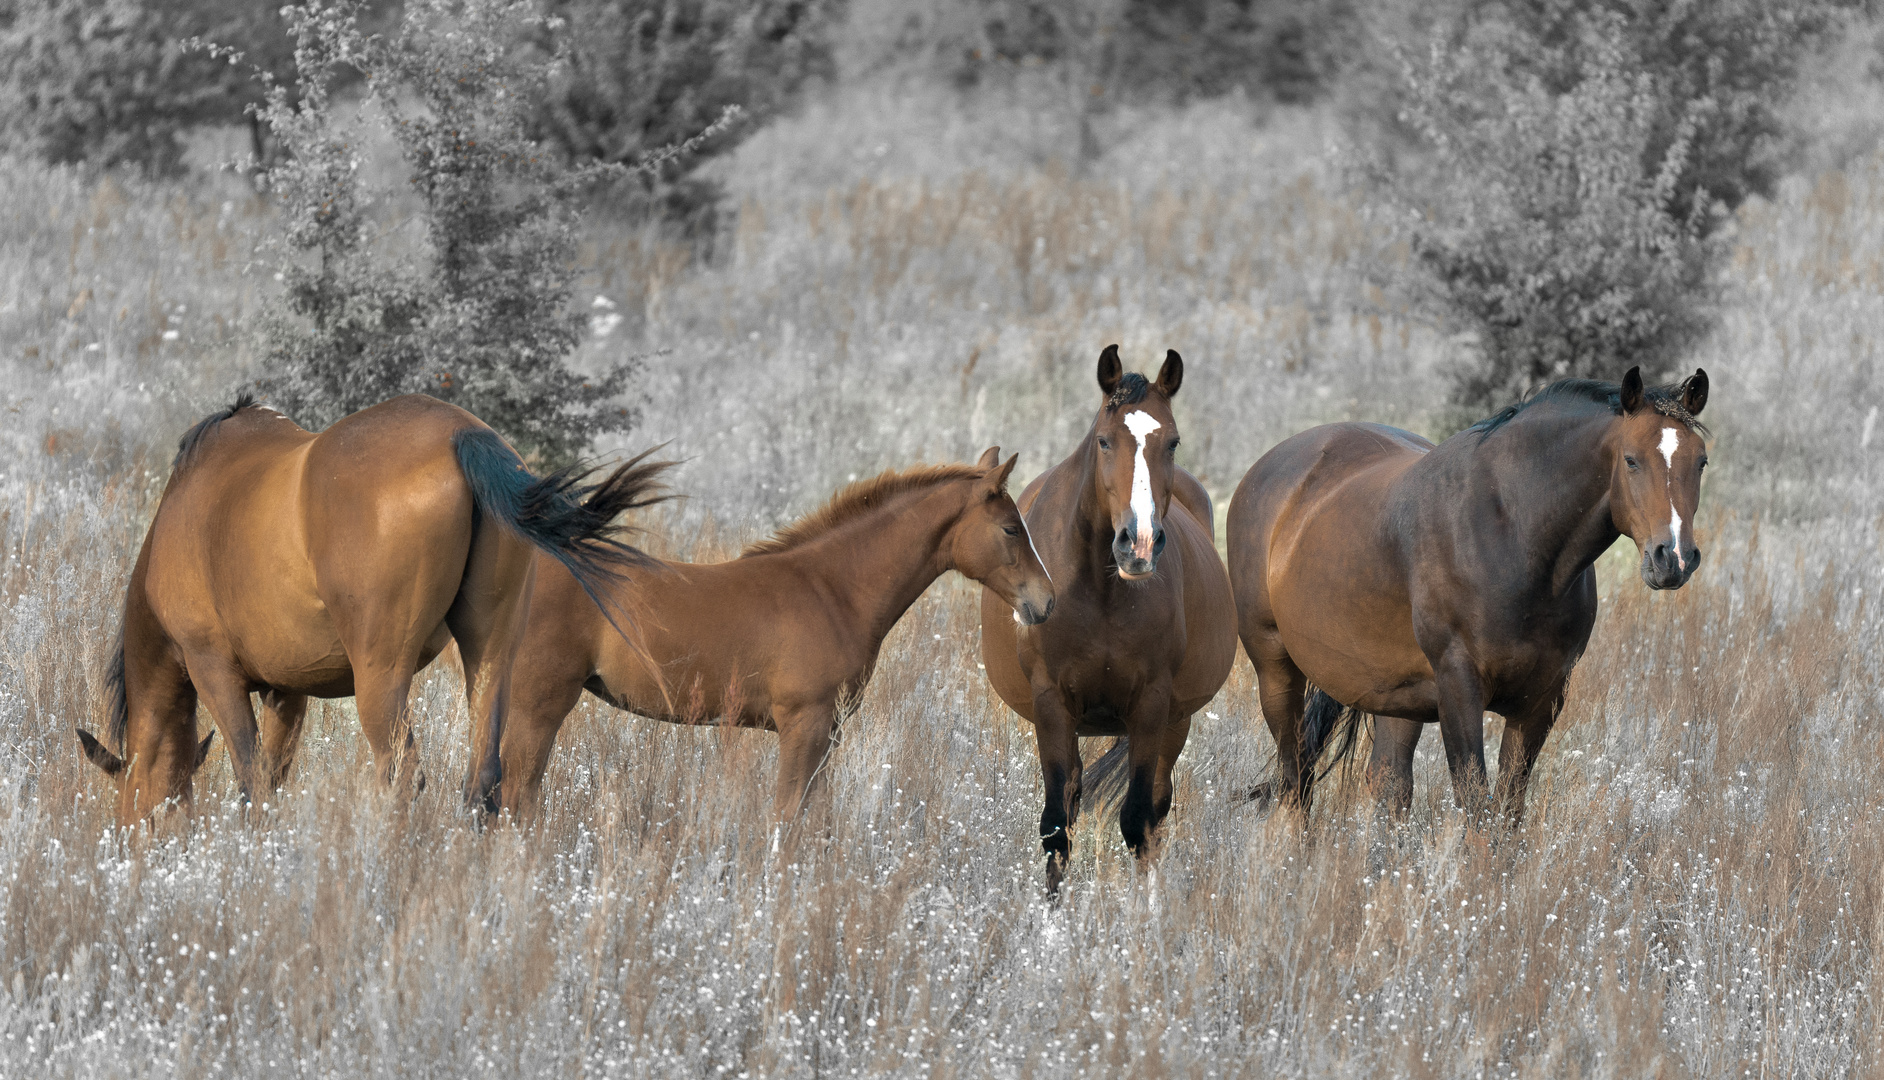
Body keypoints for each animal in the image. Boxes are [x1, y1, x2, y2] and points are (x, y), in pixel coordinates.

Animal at [77, 392, 666, 821]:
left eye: (133, 811)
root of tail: (464, 437)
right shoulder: (287, 691)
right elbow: (273, 777)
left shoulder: (214, 671)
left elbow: (253, 783)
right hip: (492, 655)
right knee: (483, 782)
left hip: (380, 680)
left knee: (402, 775)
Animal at [497, 446, 1062, 825]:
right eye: (1011, 528)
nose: (1047, 601)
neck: (832, 589)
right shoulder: (803, 723)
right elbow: (788, 817)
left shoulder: (828, 731)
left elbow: (817, 821)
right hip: (539, 704)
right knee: (515, 797)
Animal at [987, 344, 1235, 893]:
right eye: (1104, 441)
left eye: (1173, 442)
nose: (1137, 545)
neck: (1100, 593)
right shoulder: (1052, 703)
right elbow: (1056, 825)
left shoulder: (1152, 706)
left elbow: (1139, 821)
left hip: (1176, 723)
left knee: (1157, 812)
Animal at [1228, 363, 1718, 818]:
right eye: (1631, 460)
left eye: (1701, 462)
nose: (1673, 558)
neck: (1511, 533)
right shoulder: (1459, 689)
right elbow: (1475, 808)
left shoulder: (1541, 702)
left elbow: (1507, 812)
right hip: (1275, 669)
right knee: (1296, 781)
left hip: (1395, 699)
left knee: (1388, 785)